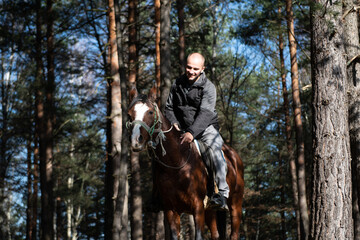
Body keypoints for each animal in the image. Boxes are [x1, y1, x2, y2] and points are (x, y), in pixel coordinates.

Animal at [127, 86, 245, 240]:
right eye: (129, 114)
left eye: (150, 112)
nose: (136, 140)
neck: (177, 163)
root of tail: (234, 156)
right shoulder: (171, 210)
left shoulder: (198, 207)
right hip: (210, 211)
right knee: (215, 234)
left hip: (235, 204)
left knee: (234, 233)